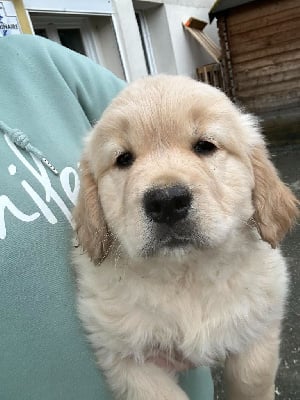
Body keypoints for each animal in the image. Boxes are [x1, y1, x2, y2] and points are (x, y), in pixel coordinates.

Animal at [72, 76, 298, 400]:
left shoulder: (259, 322)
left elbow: (251, 379)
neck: (186, 275)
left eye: (205, 146)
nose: (166, 201)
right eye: (123, 159)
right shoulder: (123, 354)